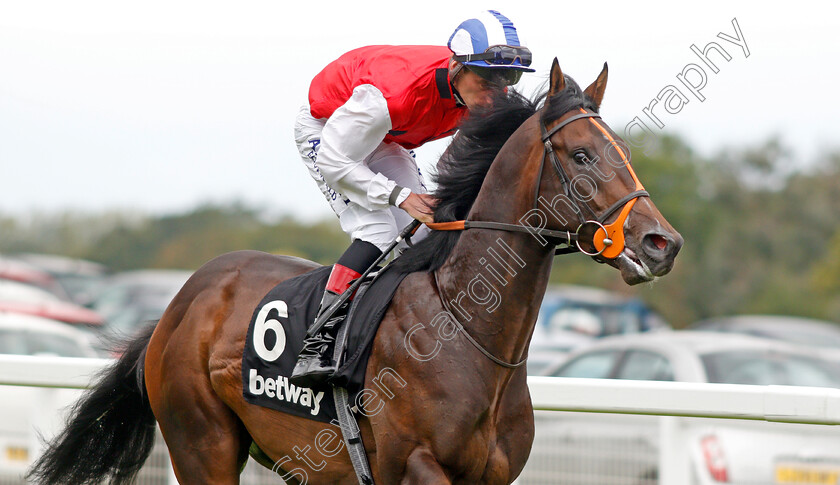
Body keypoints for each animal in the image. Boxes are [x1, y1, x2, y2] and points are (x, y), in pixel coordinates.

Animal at [27, 60, 684, 484]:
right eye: (582, 155)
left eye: (625, 152)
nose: (662, 243)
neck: (467, 331)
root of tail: (178, 305)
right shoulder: (413, 464)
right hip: (201, 442)